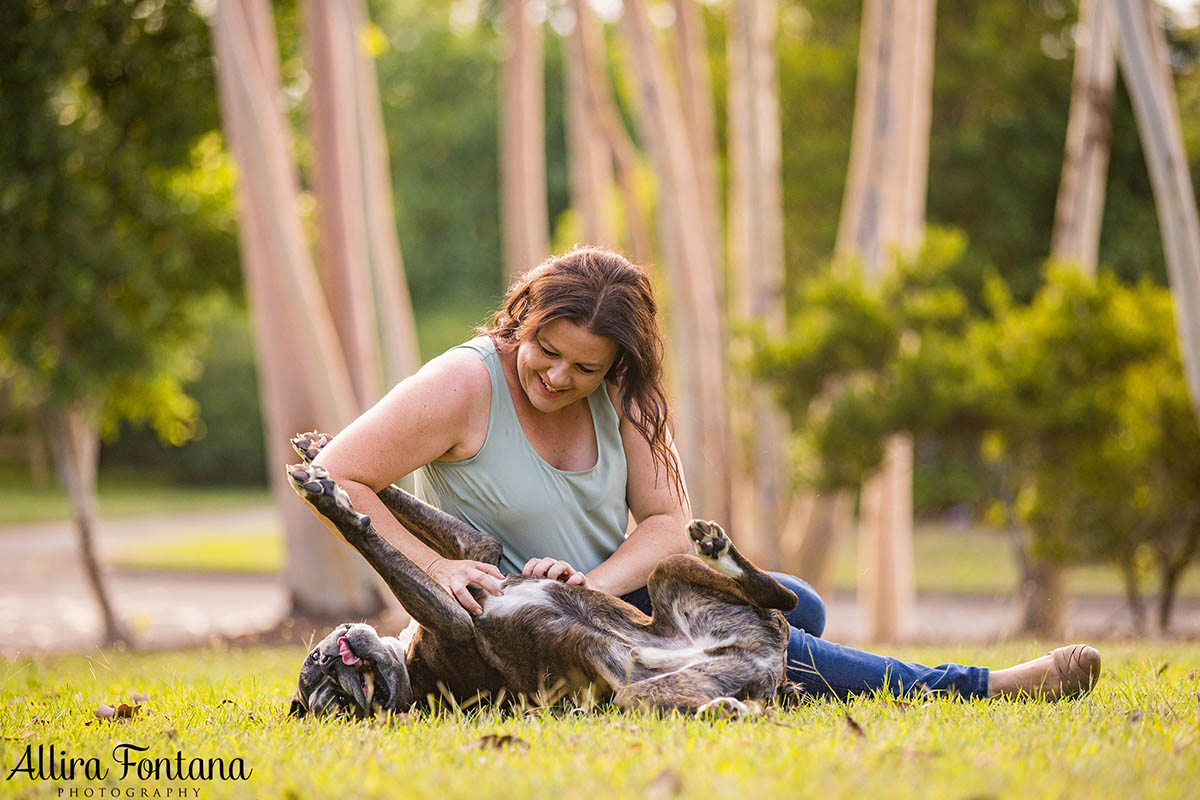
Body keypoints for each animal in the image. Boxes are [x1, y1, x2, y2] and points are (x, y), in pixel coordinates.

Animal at [285, 431, 801, 719]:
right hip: (639, 695)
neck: (408, 668)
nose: (332, 659)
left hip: (667, 571)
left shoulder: (478, 551)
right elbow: (371, 540)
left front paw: (318, 454)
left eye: (314, 658)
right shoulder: (454, 620)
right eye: (335, 703)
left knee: (784, 600)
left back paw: (717, 550)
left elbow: (402, 510)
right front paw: (332, 505)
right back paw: (728, 708)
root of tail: (767, 666)